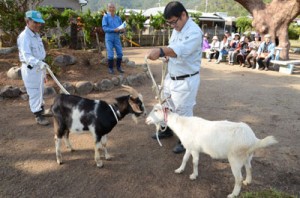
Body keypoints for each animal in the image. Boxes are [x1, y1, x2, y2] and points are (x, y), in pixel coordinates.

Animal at [146, 104, 278, 197]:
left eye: (156, 110)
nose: (146, 120)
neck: (182, 125)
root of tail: (253, 139)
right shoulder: (189, 147)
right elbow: (184, 159)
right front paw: (180, 170)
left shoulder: (195, 149)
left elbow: (194, 162)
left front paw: (194, 175)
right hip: (247, 156)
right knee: (249, 168)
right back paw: (248, 181)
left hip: (235, 159)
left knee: (238, 178)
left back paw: (233, 194)